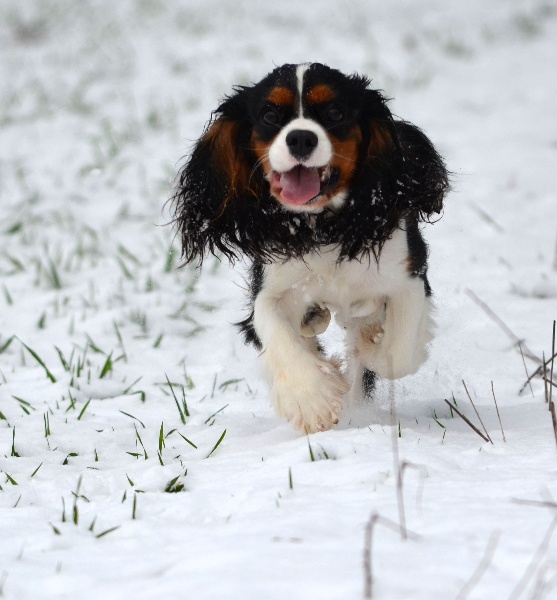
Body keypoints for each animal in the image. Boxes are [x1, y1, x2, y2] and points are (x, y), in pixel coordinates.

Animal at [172, 64, 450, 432]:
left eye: (335, 113)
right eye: (270, 115)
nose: (301, 138)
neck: (320, 225)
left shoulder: (407, 277)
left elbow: (397, 352)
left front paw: (371, 339)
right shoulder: (272, 287)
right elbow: (274, 330)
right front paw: (312, 399)